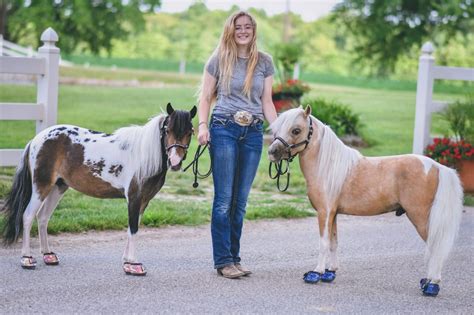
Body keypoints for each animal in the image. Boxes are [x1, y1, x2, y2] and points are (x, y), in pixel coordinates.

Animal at [0, 103, 196, 276]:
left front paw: (127, 262)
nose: (175, 162)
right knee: (28, 216)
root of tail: (36, 139)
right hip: (41, 186)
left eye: (190, 132)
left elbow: (133, 228)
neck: (143, 155)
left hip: (58, 187)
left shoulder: (143, 202)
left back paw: (48, 256)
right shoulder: (134, 198)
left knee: (42, 218)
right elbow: (133, 228)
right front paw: (134, 265)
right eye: (167, 130)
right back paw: (26, 259)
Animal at [268, 106, 464, 296]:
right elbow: (333, 242)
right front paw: (330, 272)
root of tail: (437, 166)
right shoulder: (333, 214)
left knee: (435, 247)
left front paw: (316, 273)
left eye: (296, 130)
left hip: (420, 217)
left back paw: (432, 284)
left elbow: (323, 243)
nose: (272, 152)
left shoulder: (324, 212)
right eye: (277, 129)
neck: (328, 167)